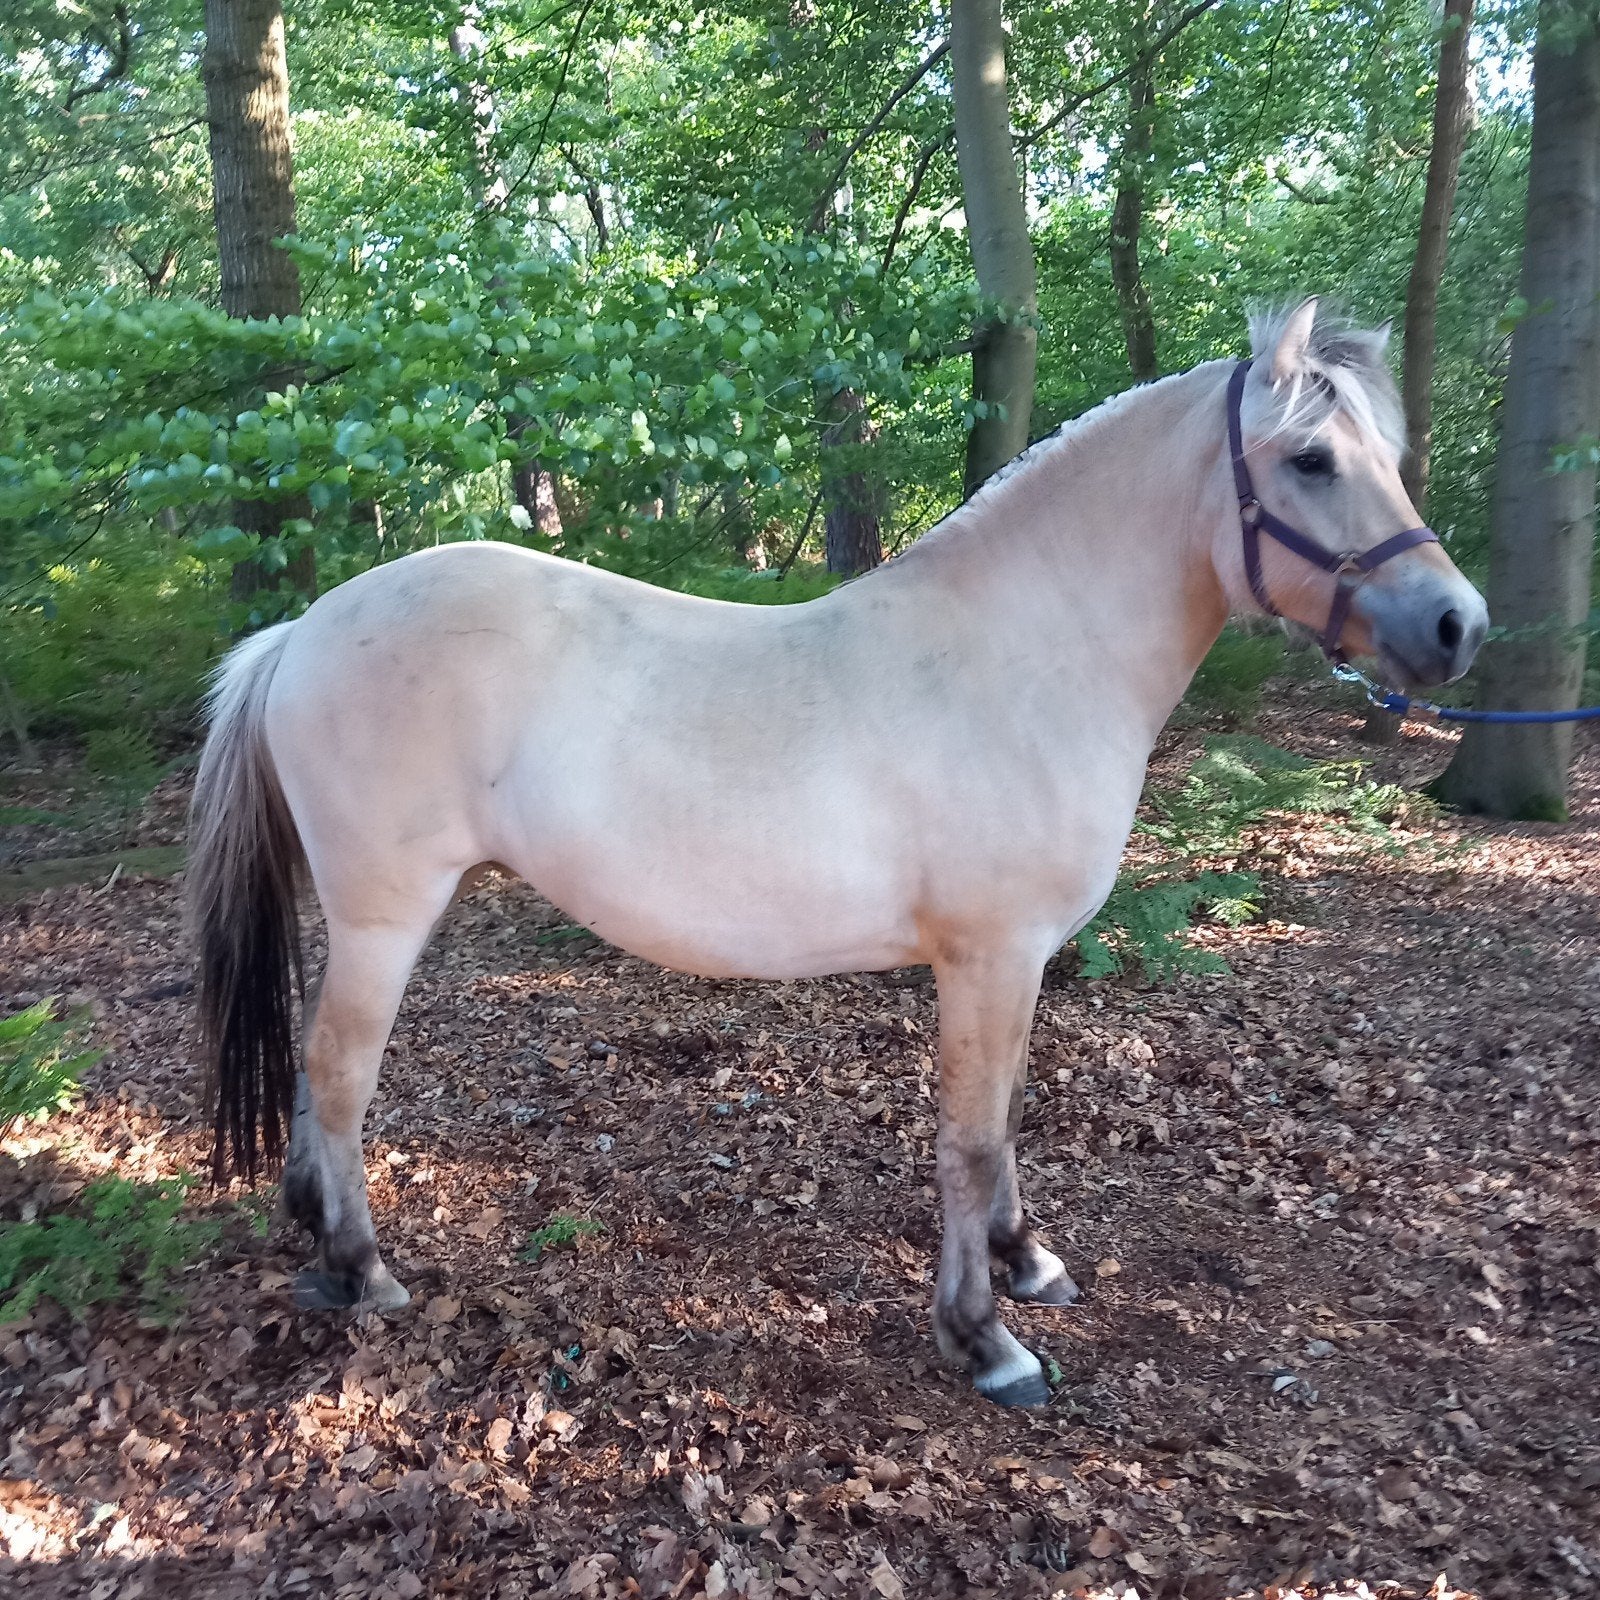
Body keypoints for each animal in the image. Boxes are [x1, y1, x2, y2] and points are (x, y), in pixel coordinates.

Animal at [188, 299, 1487, 1407]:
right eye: (1311, 459)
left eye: (1383, 453)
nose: (1457, 626)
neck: (1026, 655)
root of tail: (301, 630)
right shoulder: (986, 957)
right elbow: (969, 1139)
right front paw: (984, 1337)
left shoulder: (1017, 964)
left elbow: (1006, 1117)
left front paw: (1025, 1261)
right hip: (384, 914)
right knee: (340, 1069)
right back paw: (361, 1268)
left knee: (313, 1063)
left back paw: (313, 1227)